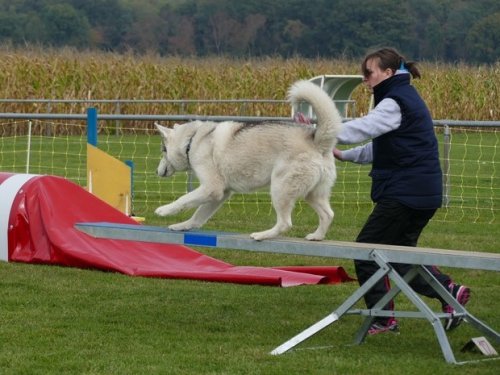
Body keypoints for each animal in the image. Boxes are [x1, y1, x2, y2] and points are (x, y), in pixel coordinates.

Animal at [156, 81, 342, 242]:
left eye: (163, 150)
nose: (156, 171)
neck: (192, 140)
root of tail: (317, 140)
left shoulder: (212, 188)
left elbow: (184, 199)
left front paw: (164, 210)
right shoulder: (220, 194)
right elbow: (197, 216)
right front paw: (182, 225)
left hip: (280, 189)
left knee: (285, 223)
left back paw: (262, 235)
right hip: (312, 194)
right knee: (328, 214)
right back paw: (317, 236)